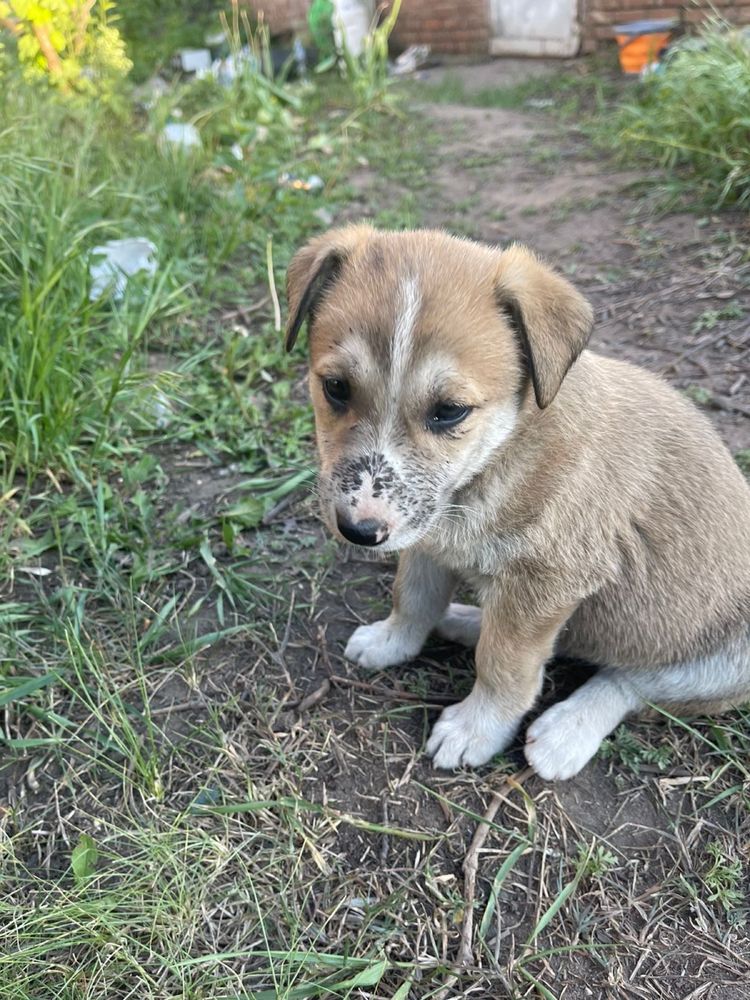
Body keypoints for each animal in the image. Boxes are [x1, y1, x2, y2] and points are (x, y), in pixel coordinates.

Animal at [284, 225, 750, 780]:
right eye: (335, 387)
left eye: (449, 411)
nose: (358, 531)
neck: (499, 457)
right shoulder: (425, 539)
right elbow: (412, 597)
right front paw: (390, 641)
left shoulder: (546, 584)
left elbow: (505, 665)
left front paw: (475, 728)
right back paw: (466, 619)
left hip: (723, 662)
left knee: (633, 682)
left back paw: (566, 731)